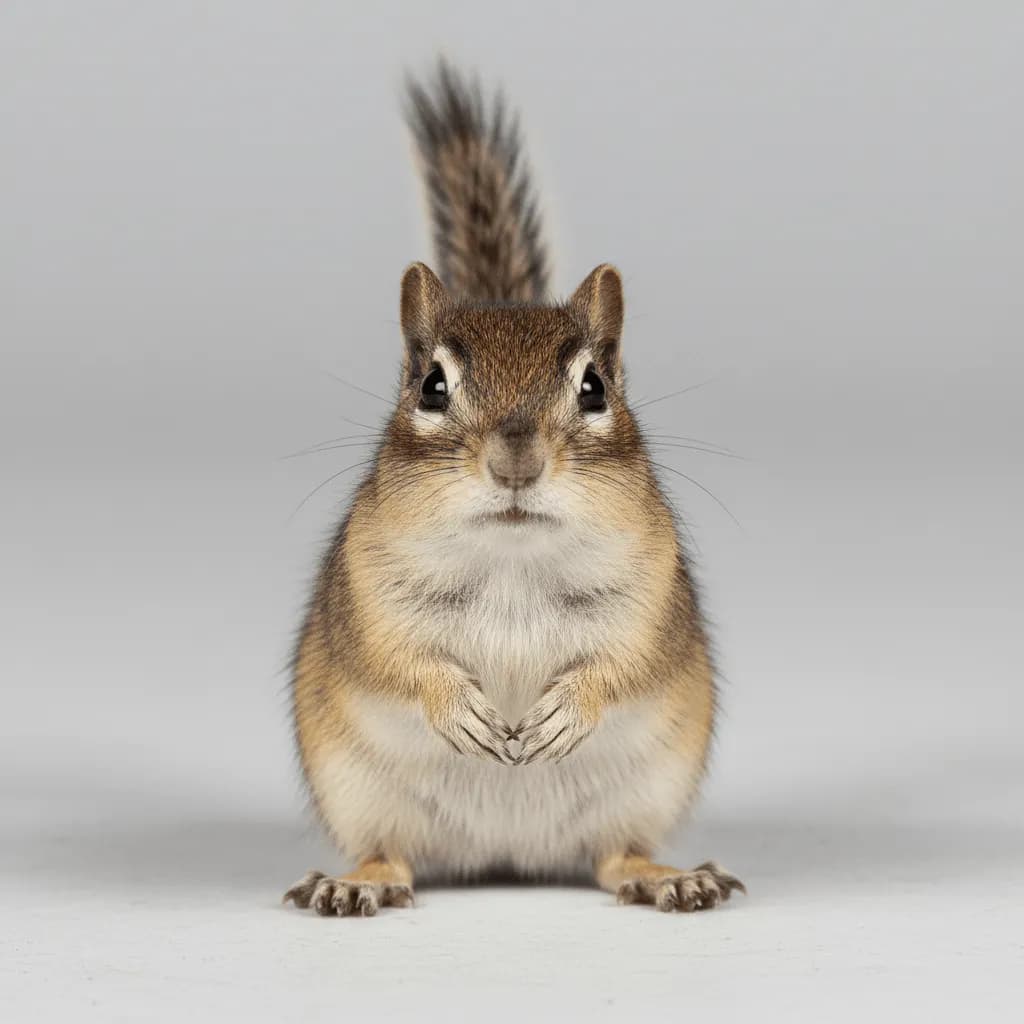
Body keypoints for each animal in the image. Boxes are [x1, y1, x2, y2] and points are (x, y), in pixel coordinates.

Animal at [283, 61, 745, 917]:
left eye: (594, 388)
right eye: (431, 387)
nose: (516, 464)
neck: (512, 559)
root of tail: (505, 854)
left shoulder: (651, 592)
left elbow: (624, 662)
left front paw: (567, 709)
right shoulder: (367, 592)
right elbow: (399, 660)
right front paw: (459, 707)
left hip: (643, 795)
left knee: (615, 856)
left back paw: (668, 876)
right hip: (364, 799)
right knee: (392, 854)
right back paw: (355, 883)